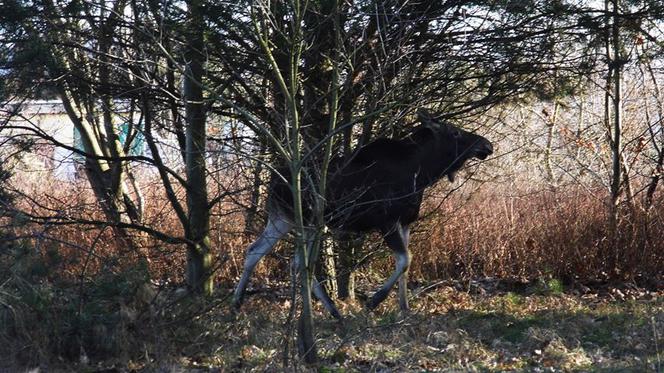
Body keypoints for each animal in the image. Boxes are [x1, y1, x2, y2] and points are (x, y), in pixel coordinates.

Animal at [231, 108, 490, 316]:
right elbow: (405, 259)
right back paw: (330, 309)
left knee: (257, 251)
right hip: (306, 222)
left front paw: (404, 307)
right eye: (455, 132)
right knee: (296, 262)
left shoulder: (406, 222)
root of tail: (274, 183)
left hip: (284, 220)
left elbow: (407, 265)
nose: (487, 145)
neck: (423, 174)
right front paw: (375, 301)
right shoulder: (386, 221)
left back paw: (239, 302)